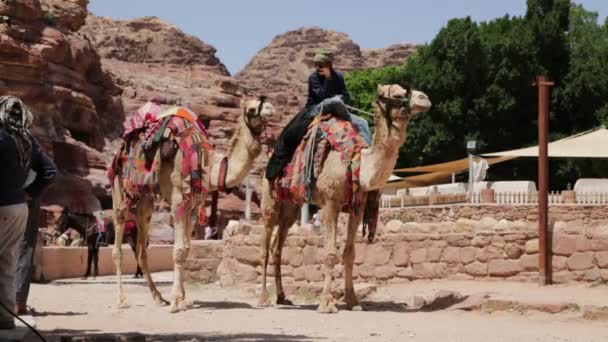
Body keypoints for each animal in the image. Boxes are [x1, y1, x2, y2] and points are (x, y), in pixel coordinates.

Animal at [111, 97, 278, 312]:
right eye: (250, 109)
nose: (270, 108)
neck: (208, 166)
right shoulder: (178, 199)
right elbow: (178, 250)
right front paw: (176, 301)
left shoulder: (192, 204)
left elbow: (186, 249)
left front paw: (183, 299)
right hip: (120, 182)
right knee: (119, 224)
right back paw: (121, 299)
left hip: (146, 196)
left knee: (141, 244)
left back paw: (158, 297)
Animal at [258, 85, 430, 312]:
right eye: (397, 94)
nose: (425, 98)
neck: (356, 161)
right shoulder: (330, 203)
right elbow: (330, 253)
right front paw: (326, 303)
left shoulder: (358, 206)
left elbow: (350, 253)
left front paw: (353, 301)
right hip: (269, 201)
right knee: (265, 247)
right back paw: (264, 299)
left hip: (291, 207)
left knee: (277, 248)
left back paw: (282, 297)